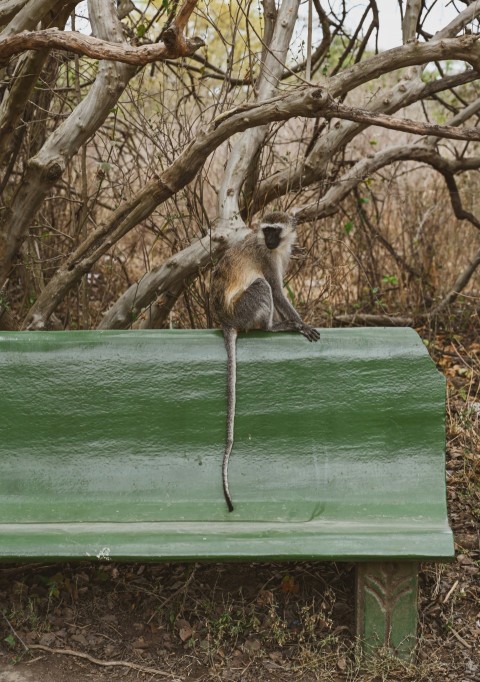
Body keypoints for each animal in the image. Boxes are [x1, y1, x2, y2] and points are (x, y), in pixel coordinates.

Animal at [212, 210, 320, 508]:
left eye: (275, 231)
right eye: (267, 230)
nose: (270, 240)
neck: (271, 248)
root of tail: (226, 320)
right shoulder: (266, 258)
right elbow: (277, 291)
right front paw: (301, 325)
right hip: (244, 310)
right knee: (262, 286)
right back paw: (273, 327)